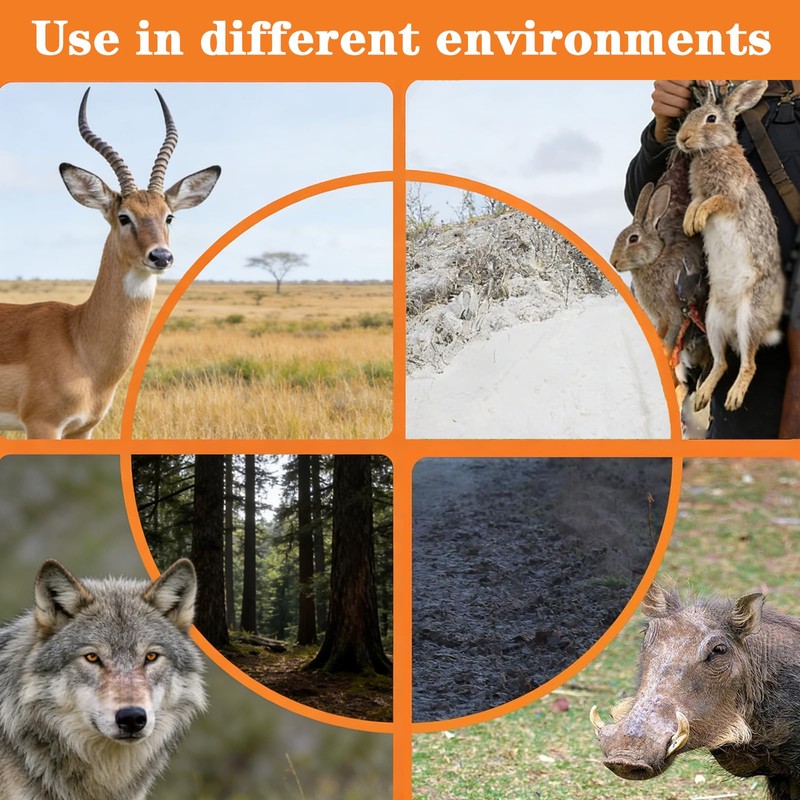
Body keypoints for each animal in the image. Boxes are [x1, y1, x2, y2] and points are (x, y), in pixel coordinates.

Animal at [0, 88, 220, 439]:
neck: (79, 341)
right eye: (124, 217)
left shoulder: (82, 429)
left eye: (168, 216)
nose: (161, 256)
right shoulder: (42, 425)